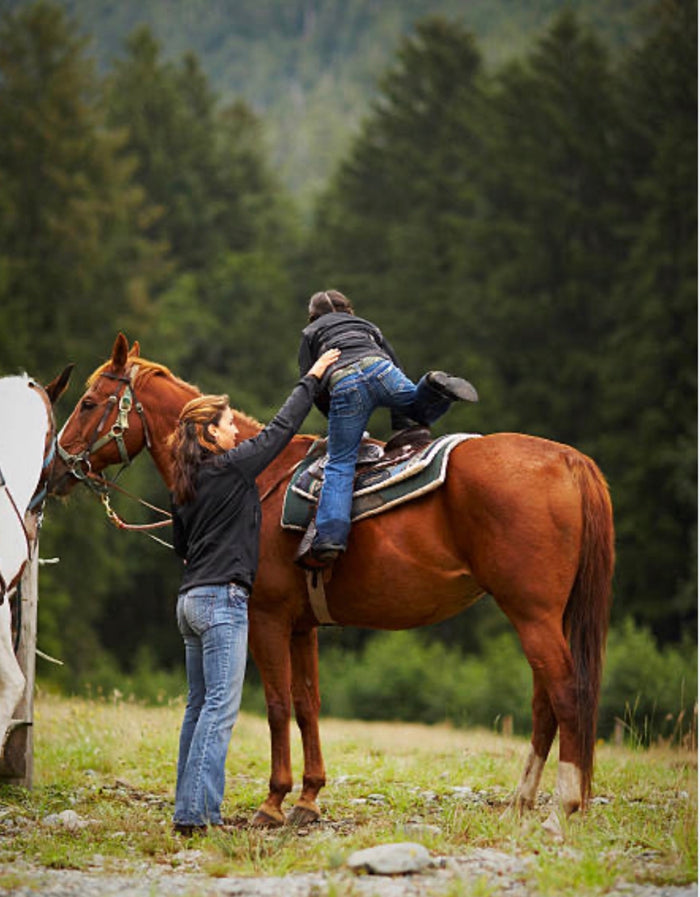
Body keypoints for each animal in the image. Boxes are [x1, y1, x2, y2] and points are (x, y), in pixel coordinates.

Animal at [50, 334, 612, 824]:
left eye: (88, 402)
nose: (56, 466)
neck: (259, 476)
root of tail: (567, 458)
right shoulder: (303, 626)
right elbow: (307, 705)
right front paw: (308, 799)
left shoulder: (267, 619)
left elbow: (277, 705)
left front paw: (273, 803)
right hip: (543, 615)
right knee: (545, 702)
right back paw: (521, 802)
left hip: (532, 613)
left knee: (567, 693)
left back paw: (563, 806)